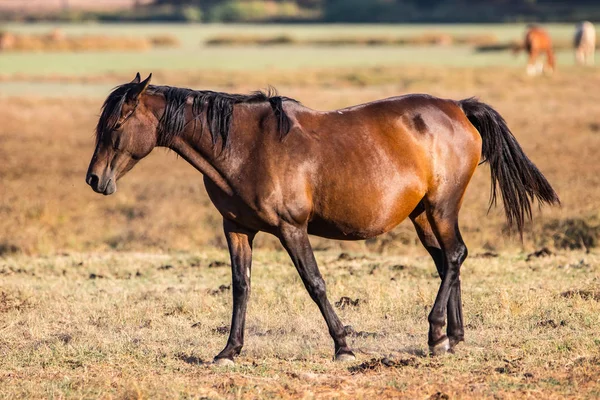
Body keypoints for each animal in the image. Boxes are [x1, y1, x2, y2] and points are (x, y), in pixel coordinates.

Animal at [86, 74, 560, 366]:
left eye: (117, 124)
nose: (95, 179)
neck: (242, 146)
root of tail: (458, 108)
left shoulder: (291, 229)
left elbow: (314, 283)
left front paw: (344, 346)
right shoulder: (236, 228)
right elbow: (241, 287)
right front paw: (228, 351)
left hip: (442, 207)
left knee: (456, 255)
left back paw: (436, 332)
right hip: (423, 214)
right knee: (448, 261)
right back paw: (452, 339)